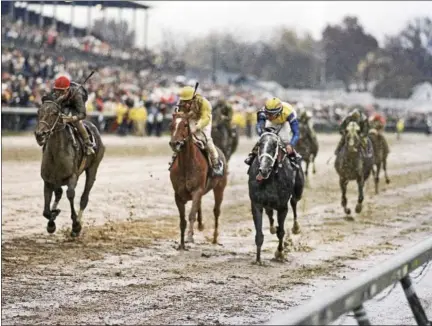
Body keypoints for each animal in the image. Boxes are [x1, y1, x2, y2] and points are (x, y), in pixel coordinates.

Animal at [33, 95, 104, 237]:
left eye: (55, 113)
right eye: (39, 112)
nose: (40, 134)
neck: (56, 154)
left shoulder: (72, 177)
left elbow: (70, 194)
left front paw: (76, 225)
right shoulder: (48, 180)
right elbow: (46, 210)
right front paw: (52, 220)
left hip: (93, 168)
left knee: (84, 198)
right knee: (58, 193)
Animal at [169, 112, 230, 250]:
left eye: (185, 125)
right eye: (172, 125)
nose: (175, 143)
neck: (186, 165)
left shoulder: (197, 190)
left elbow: (191, 215)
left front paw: (189, 237)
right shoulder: (178, 195)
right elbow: (182, 220)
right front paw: (181, 244)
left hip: (220, 188)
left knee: (216, 211)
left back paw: (214, 238)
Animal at [248, 129, 306, 264]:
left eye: (275, 146)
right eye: (259, 144)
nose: (263, 169)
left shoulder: (282, 206)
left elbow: (281, 232)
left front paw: (280, 253)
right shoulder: (256, 204)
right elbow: (259, 234)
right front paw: (258, 259)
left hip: (298, 190)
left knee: (294, 202)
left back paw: (296, 227)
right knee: (270, 213)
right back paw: (272, 227)